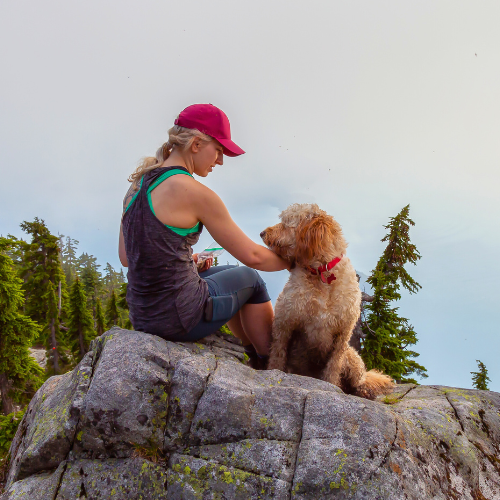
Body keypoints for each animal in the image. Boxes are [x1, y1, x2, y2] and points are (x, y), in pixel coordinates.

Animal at [262, 201, 394, 400]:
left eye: (286, 222)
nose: (262, 233)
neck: (321, 275)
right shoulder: (285, 323)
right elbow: (278, 355)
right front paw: (273, 371)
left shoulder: (342, 335)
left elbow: (332, 368)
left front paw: (330, 386)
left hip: (352, 357)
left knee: (358, 380)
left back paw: (362, 390)